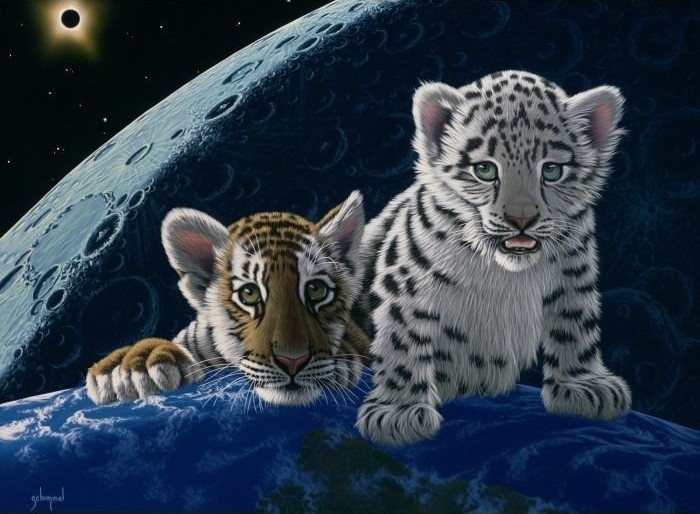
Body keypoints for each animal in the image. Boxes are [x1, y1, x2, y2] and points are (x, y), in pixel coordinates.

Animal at [354, 70, 632, 445]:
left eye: (552, 171)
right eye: (484, 170)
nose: (521, 219)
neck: (506, 274)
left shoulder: (574, 277)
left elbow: (576, 327)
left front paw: (585, 385)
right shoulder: (406, 284)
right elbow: (402, 343)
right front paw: (398, 413)